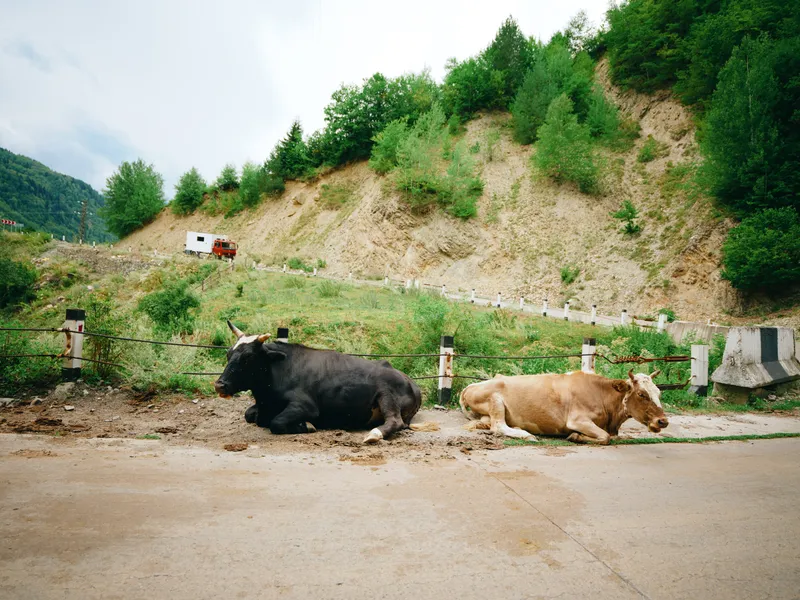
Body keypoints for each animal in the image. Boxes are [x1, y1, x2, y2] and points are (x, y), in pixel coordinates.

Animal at [214, 321, 423, 444]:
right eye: (228, 353)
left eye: (248, 357)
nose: (219, 385)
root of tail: (412, 383)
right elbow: (249, 414)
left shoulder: (306, 406)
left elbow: (276, 422)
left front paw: (305, 426)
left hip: (386, 395)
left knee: (395, 421)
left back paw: (373, 434)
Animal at [458, 369, 669, 445]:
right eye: (642, 394)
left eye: (659, 393)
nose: (663, 421)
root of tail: (472, 385)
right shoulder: (577, 420)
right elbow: (605, 437)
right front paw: (576, 437)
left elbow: (610, 436)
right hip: (495, 399)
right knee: (498, 426)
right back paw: (527, 435)